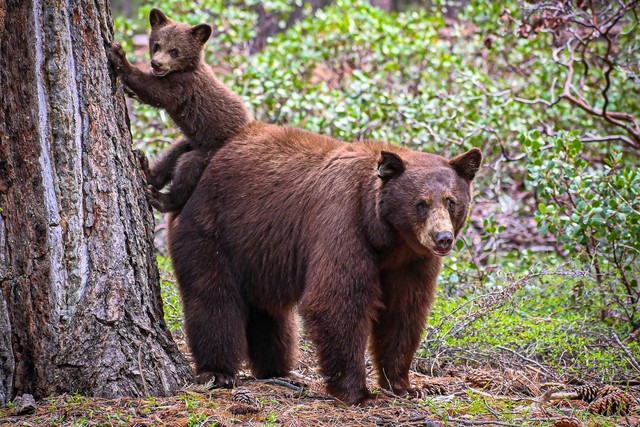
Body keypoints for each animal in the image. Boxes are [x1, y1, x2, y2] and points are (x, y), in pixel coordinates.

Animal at [109, 8, 251, 212]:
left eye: (175, 51)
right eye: (157, 45)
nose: (156, 63)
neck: (186, 69)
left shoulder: (183, 86)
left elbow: (156, 91)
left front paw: (120, 56)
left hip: (208, 153)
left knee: (188, 170)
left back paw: (160, 198)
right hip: (191, 141)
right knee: (173, 154)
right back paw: (147, 168)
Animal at [168, 120, 482, 405]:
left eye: (451, 201)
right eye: (421, 203)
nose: (443, 238)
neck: (387, 238)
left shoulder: (412, 261)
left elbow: (404, 311)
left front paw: (406, 385)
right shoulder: (343, 223)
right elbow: (337, 301)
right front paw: (358, 393)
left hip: (259, 252)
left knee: (270, 312)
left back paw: (280, 371)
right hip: (212, 231)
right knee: (214, 299)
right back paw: (218, 372)